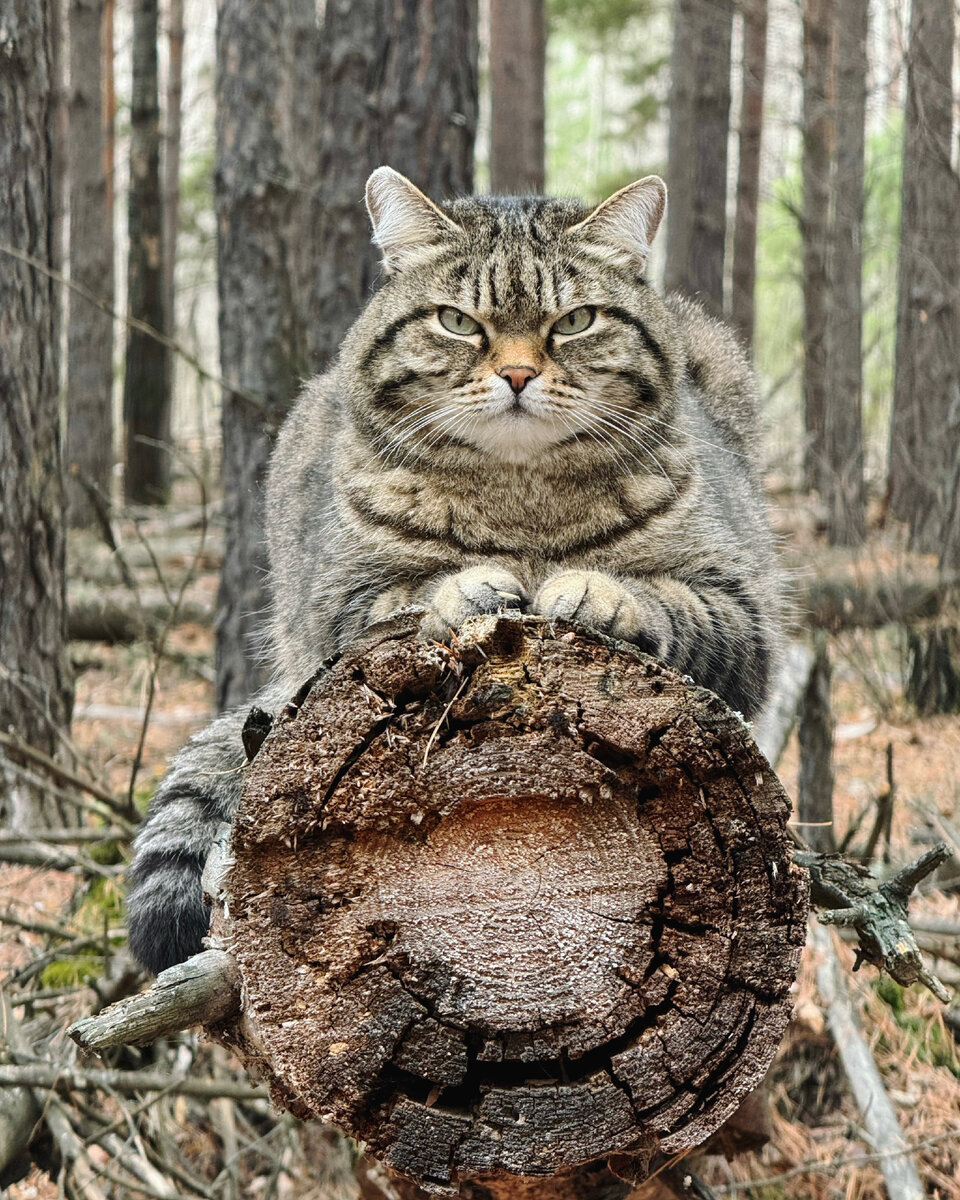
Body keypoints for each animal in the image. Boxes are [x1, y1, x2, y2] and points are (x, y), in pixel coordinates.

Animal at [127, 169, 782, 974]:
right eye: (456, 321)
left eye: (576, 321)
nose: (518, 373)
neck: (522, 499)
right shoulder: (335, 608)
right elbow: (403, 601)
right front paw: (471, 586)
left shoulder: (745, 618)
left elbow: (670, 603)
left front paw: (594, 591)